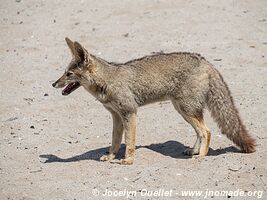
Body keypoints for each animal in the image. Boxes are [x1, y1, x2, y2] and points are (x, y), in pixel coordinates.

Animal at [51, 37, 256, 164]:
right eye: (64, 72)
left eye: (69, 74)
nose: (53, 83)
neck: (107, 80)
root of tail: (205, 60)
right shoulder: (116, 116)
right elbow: (115, 140)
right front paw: (110, 156)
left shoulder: (130, 112)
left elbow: (129, 140)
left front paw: (128, 160)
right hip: (182, 110)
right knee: (200, 131)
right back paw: (194, 151)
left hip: (186, 110)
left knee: (206, 131)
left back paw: (201, 155)